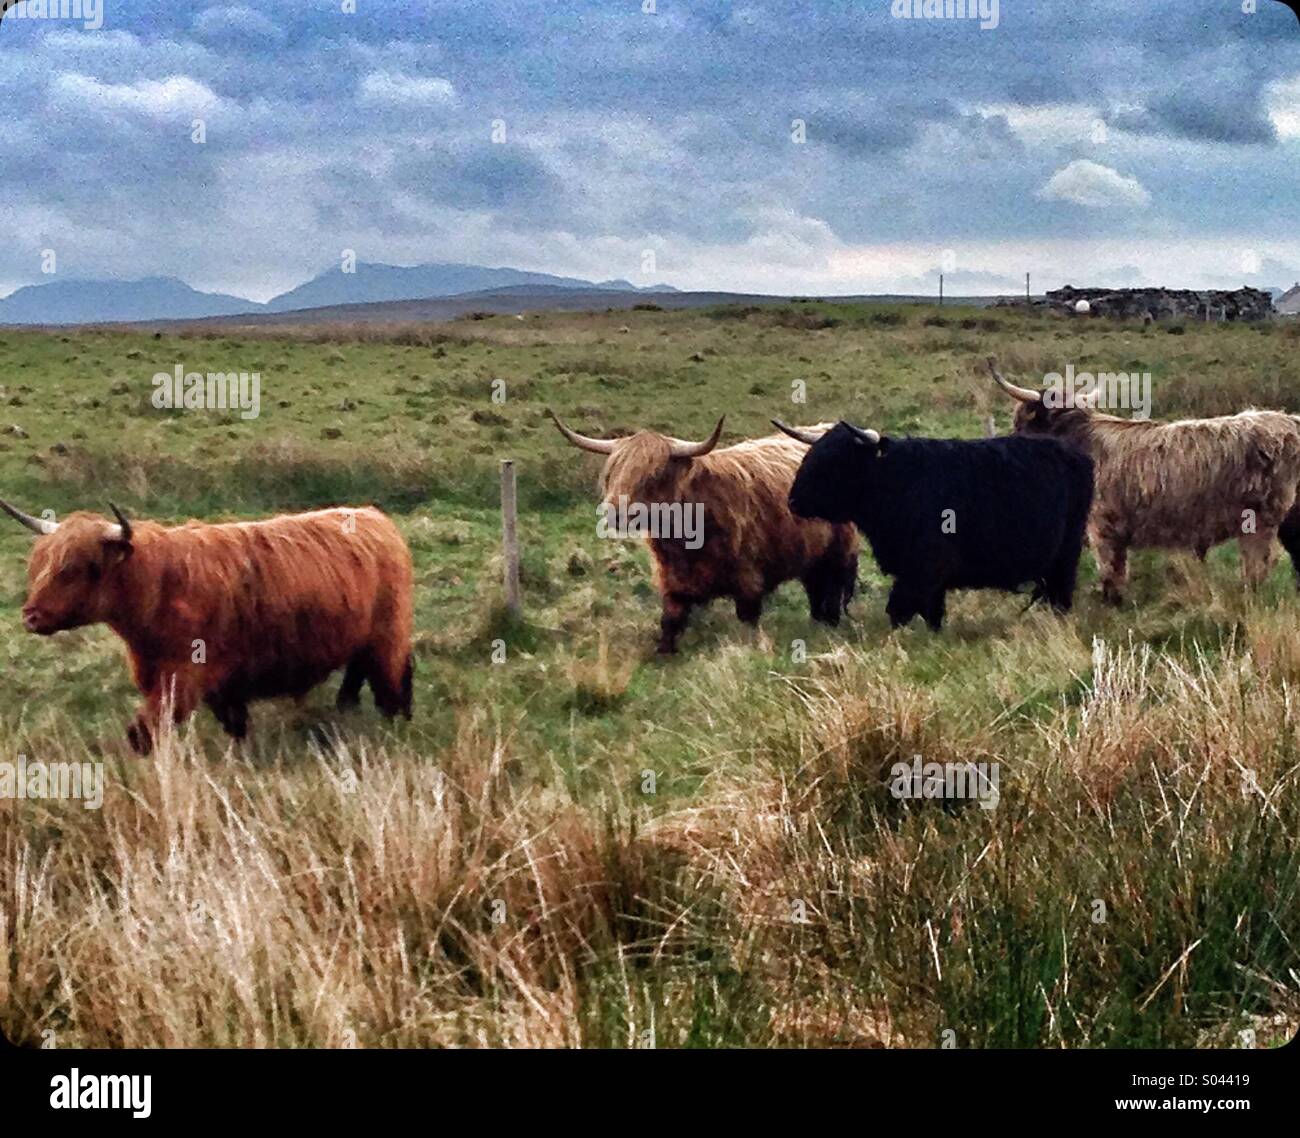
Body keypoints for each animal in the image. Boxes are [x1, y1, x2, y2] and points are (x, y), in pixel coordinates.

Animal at [1, 499, 413, 753]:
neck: (157, 586)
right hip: (360, 641)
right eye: (39, 565)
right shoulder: (215, 682)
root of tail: (376, 518)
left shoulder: (183, 678)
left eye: (74, 568)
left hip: (388, 636)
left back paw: (394, 729)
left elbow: (142, 733)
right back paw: (345, 711)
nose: (30, 615)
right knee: (356, 676)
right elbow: (234, 725)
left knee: (392, 686)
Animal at [548, 410, 859, 653]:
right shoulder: (673, 584)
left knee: (831, 590)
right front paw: (665, 654)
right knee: (814, 586)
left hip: (839, 552)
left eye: (653, 476)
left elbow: (748, 621)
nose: (614, 512)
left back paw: (829, 626)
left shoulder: (748, 582)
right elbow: (669, 624)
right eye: (612, 473)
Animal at [774, 419, 1094, 630]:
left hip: (1066, 552)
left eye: (836, 459)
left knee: (1061, 593)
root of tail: (1075, 453)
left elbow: (899, 608)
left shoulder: (925, 565)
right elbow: (931, 611)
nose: (793, 501)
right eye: (812, 454)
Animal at [987, 357, 1300, 603]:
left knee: (1258, 566)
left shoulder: (1101, 526)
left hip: (1260, 521)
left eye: (1020, 424)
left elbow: (1110, 570)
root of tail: (1290, 421)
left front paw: (1110, 603)